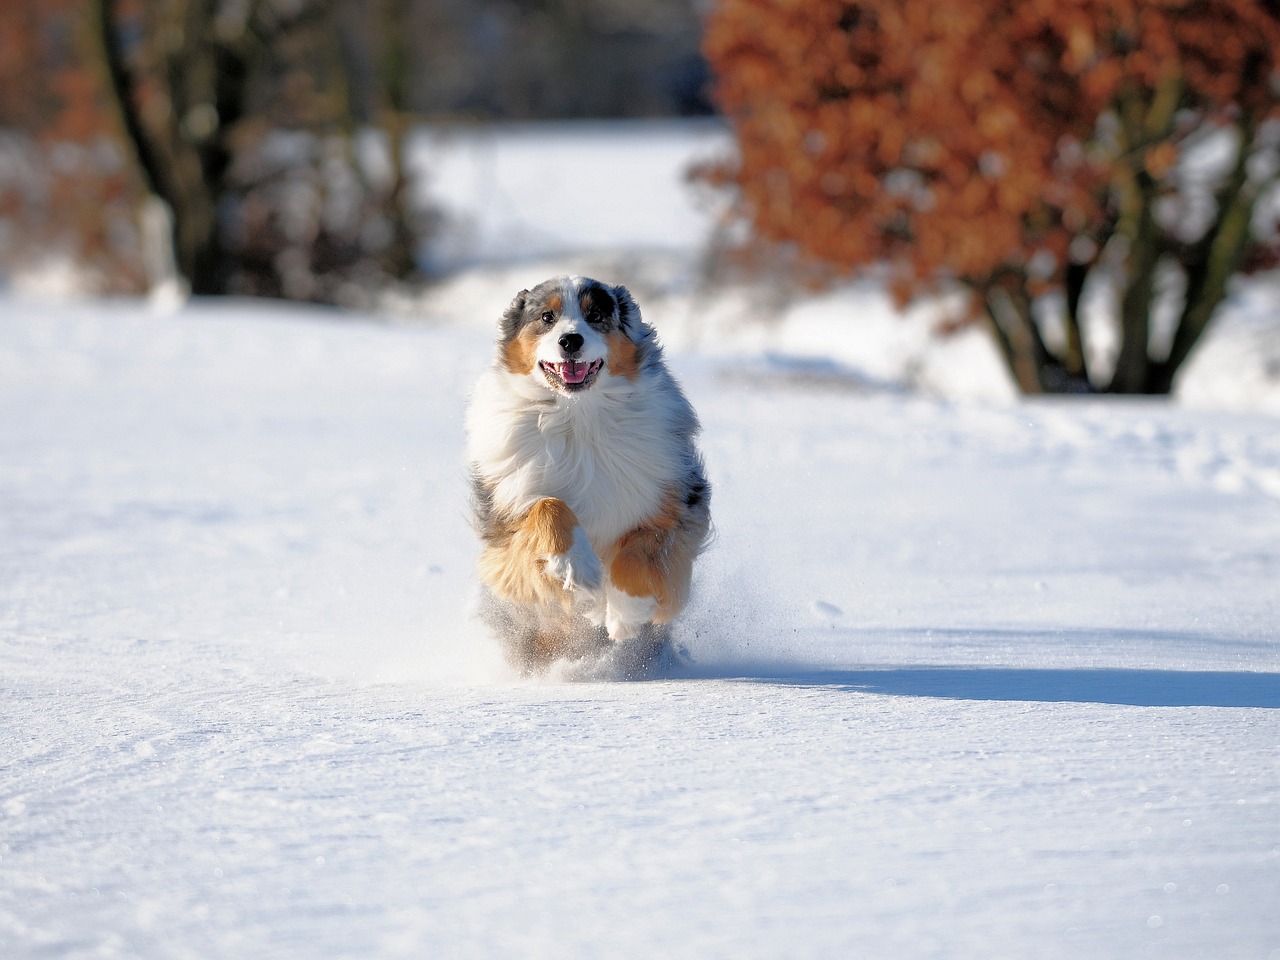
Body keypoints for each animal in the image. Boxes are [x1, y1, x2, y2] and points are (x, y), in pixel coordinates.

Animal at [468, 273, 716, 670]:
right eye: (547, 317)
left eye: (596, 315)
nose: (571, 340)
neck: (577, 415)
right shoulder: (506, 525)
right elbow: (547, 506)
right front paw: (579, 569)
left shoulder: (675, 501)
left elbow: (642, 550)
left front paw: (625, 613)